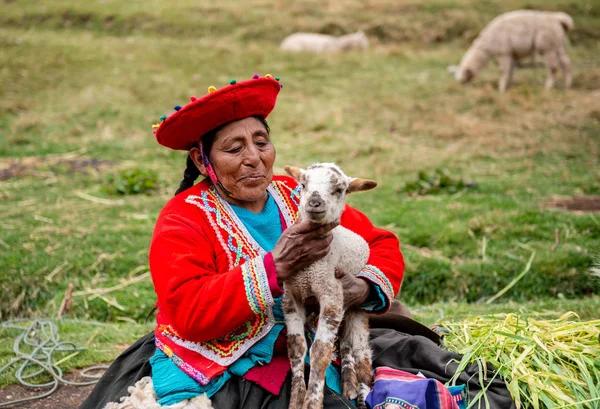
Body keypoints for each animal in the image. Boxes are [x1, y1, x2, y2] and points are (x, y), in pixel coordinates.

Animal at [282, 163, 376, 408]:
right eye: (303, 184)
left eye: (339, 190)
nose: (315, 202)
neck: (309, 270)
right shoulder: (292, 298)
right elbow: (296, 349)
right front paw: (296, 399)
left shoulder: (331, 294)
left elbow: (319, 352)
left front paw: (312, 401)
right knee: (345, 344)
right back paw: (349, 385)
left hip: (357, 308)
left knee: (362, 355)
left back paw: (362, 393)